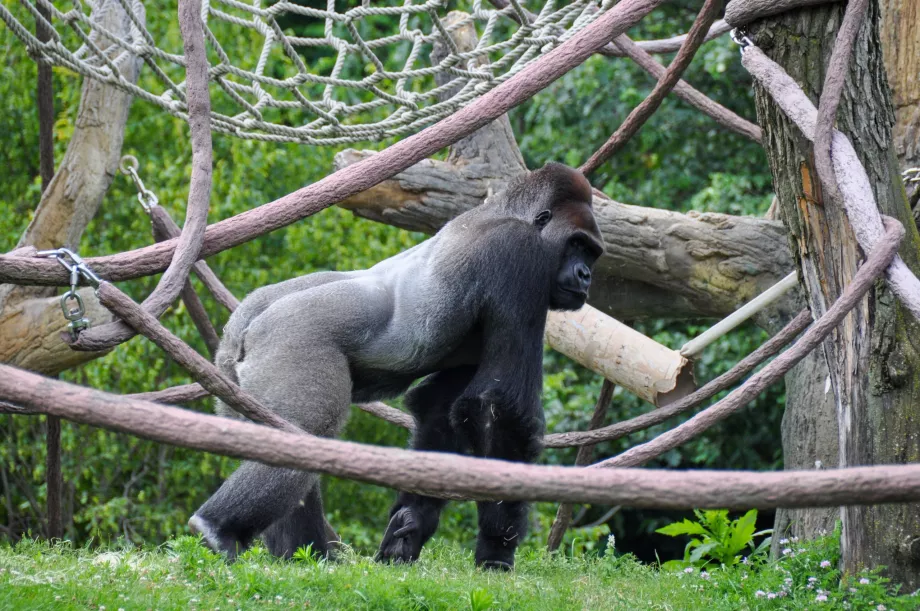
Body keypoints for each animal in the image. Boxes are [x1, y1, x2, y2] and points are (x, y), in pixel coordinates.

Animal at [189, 161, 604, 568]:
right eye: (577, 245)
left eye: (592, 254)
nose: (586, 276)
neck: (507, 211)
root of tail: (244, 323)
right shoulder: (520, 256)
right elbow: (497, 406)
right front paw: (496, 550)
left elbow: (440, 408)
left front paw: (411, 527)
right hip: (290, 336)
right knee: (307, 428)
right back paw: (219, 530)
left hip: (231, 376)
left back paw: (304, 554)